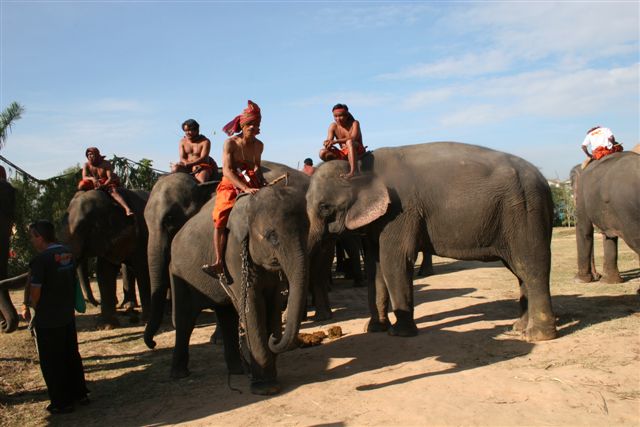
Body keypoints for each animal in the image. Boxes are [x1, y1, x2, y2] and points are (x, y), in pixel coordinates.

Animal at [61, 188, 151, 327]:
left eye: (84, 228)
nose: (97, 303)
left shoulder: (143, 233)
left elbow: (143, 268)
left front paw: (147, 321)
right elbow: (104, 273)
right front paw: (106, 326)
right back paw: (128, 306)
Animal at [167, 182, 309, 395]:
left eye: (307, 231)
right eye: (271, 236)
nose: (274, 339)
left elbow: (273, 302)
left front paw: (268, 378)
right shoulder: (232, 254)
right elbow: (252, 305)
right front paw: (266, 388)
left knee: (226, 316)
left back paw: (239, 371)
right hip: (180, 272)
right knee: (185, 319)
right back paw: (180, 375)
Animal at [306, 141, 557, 342]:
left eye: (325, 207)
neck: (361, 166)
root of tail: (545, 181)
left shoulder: (401, 211)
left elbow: (394, 261)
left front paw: (399, 333)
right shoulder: (379, 221)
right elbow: (375, 267)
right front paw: (374, 329)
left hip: (525, 210)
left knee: (531, 265)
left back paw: (537, 336)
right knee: (519, 269)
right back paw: (519, 327)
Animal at [570, 151, 640, 283]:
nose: (597, 276)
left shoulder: (582, 195)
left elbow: (584, 229)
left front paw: (579, 280)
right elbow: (609, 236)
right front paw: (609, 281)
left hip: (628, 210)